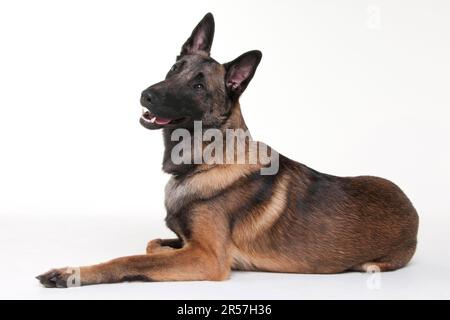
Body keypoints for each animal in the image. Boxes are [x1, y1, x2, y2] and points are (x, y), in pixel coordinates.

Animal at [36, 12, 418, 288]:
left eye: (198, 86)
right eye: (174, 69)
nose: (145, 94)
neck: (203, 161)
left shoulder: (208, 258)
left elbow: (131, 259)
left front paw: (71, 273)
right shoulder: (190, 245)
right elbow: (152, 244)